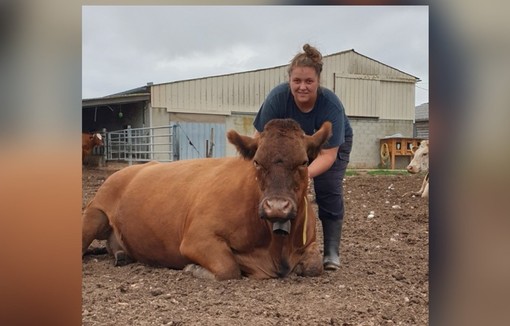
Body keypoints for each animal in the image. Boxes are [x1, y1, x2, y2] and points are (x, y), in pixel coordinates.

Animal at [82, 119, 330, 280]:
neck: (275, 246)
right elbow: (228, 267)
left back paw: (122, 255)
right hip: (94, 215)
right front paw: (193, 268)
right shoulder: (197, 238)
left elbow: (315, 265)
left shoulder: (310, 242)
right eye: (257, 162)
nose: (276, 207)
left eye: (303, 162)